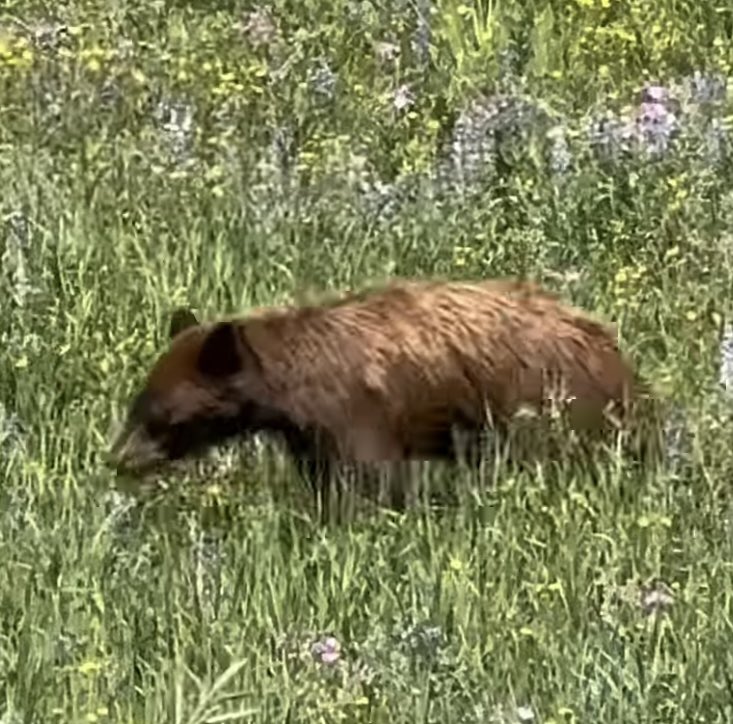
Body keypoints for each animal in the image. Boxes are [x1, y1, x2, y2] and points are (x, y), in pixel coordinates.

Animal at [109, 277, 661, 516]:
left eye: (160, 413)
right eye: (138, 402)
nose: (119, 459)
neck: (293, 386)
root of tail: (622, 363)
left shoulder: (354, 410)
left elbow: (374, 477)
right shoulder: (309, 432)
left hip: (552, 407)